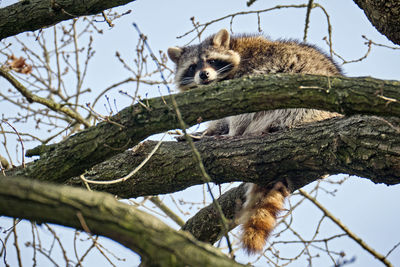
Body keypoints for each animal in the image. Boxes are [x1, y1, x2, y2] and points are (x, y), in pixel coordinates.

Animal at [168, 29, 340, 255]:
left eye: (211, 61)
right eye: (192, 66)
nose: (203, 75)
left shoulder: (245, 76)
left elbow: (238, 113)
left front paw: (224, 132)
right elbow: (221, 118)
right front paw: (207, 132)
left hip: (297, 97)